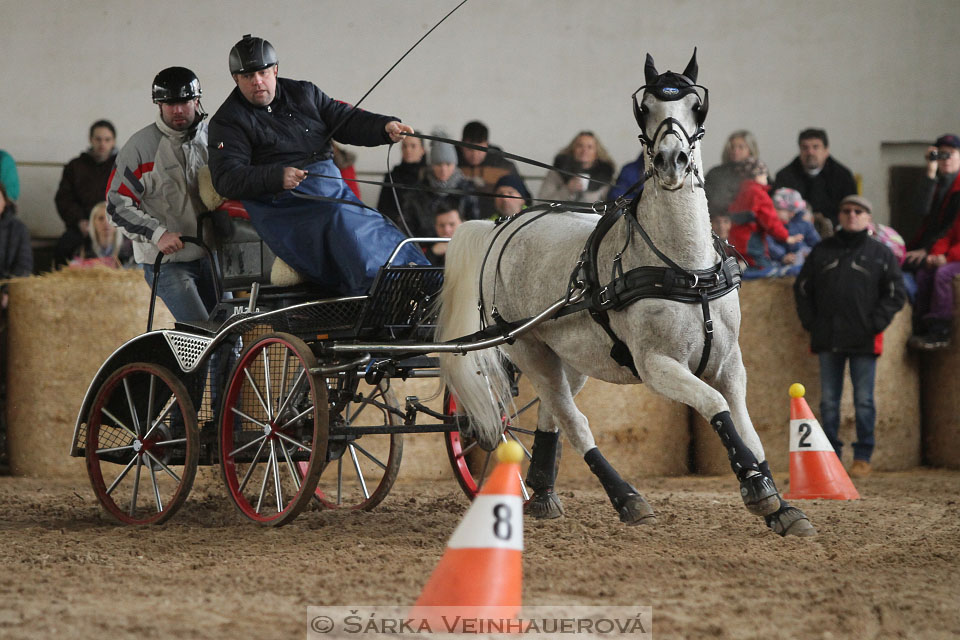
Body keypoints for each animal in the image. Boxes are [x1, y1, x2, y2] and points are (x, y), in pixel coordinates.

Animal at [438, 52, 812, 536]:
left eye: (696, 105)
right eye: (646, 107)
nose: (672, 160)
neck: (687, 270)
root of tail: (501, 226)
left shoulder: (730, 362)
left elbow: (749, 429)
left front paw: (781, 506)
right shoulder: (657, 365)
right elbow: (714, 406)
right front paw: (757, 488)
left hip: (571, 357)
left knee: (553, 412)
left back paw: (542, 492)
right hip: (528, 347)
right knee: (574, 422)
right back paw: (627, 498)